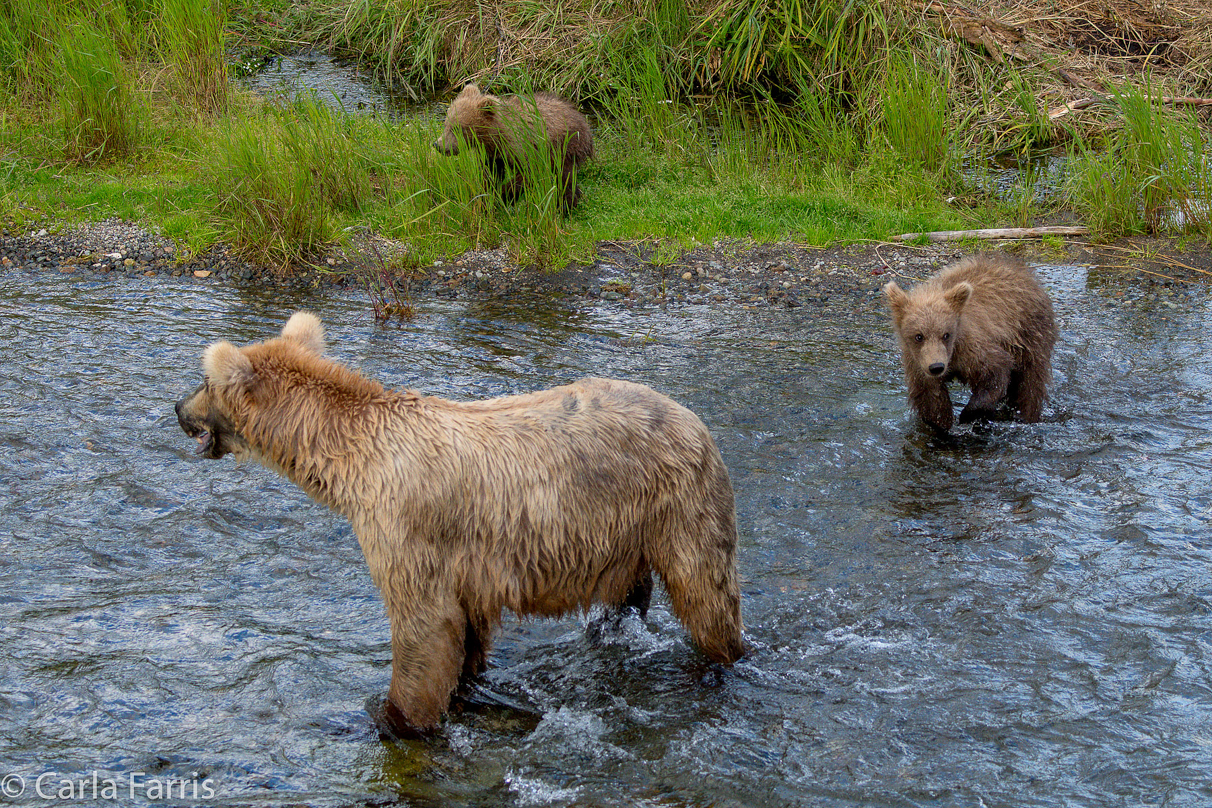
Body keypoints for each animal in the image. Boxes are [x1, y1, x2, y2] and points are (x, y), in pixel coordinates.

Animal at [175, 314, 741, 741]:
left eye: (203, 380)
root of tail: (694, 418)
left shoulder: (405, 527)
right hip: (628, 530)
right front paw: (464, 690)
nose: (178, 407)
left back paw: (717, 664)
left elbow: (424, 628)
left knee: (706, 594)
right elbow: (466, 634)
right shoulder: (467, 566)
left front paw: (392, 718)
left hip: (680, 503)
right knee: (629, 598)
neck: (353, 466)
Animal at [433, 83, 593, 210]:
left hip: (564, 146)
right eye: (446, 123)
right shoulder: (492, 153)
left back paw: (566, 206)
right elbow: (490, 174)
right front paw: (486, 197)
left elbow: (529, 173)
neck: (496, 135)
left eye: (458, 128)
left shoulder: (522, 147)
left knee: (564, 178)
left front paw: (503, 196)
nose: (438, 145)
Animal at [882, 254, 1061, 433]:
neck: (952, 356)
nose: (936, 366)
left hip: (1030, 334)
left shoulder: (972, 349)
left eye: (946, 335)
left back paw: (1026, 415)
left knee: (1030, 384)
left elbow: (995, 373)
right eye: (919, 336)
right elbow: (931, 398)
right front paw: (942, 422)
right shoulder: (918, 363)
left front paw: (969, 414)